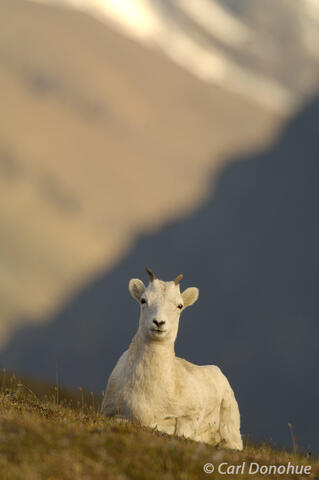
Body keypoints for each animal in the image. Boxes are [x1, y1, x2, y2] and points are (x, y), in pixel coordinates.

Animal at [101, 266, 244, 450]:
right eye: (143, 300)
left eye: (179, 305)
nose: (159, 323)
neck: (149, 392)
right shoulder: (110, 412)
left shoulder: (191, 416)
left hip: (230, 423)